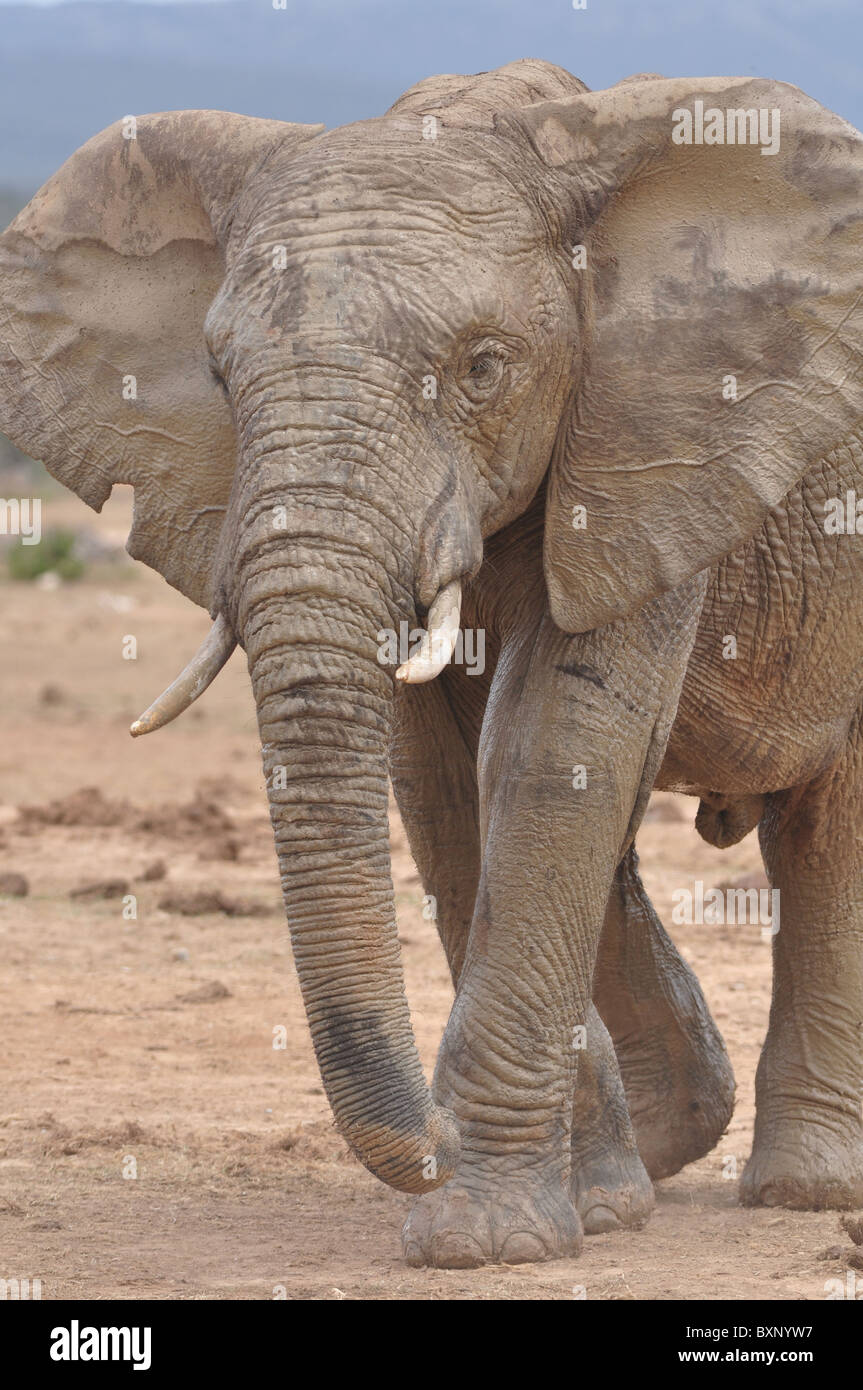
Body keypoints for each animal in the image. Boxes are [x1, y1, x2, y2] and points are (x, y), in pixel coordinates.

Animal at [1, 56, 861, 1273]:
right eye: (217, 373)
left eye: (482, 368)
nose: (428, 1143)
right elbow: (446, 782)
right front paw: (585, 1207)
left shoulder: (652, 448)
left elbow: (552, 749)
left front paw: (483, 1238)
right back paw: (659, 1150)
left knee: (825, 828)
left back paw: (802, 1188)